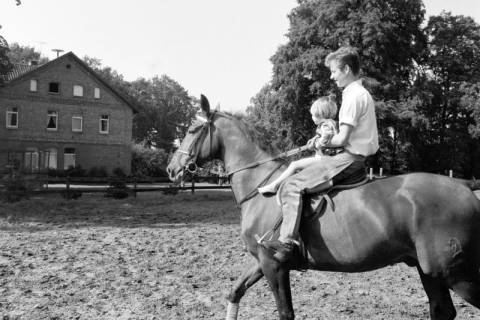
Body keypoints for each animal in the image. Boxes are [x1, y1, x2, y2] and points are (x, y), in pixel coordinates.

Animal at [167, 95, 480, 320]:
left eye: (193, 129)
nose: (171, 169)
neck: (260, 186)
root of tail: (465, 186)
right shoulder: (260, 260)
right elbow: (235, 293)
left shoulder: (274, 265)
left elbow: (286, 313)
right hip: (431, 273)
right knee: (442, 311)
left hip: (457, 275)